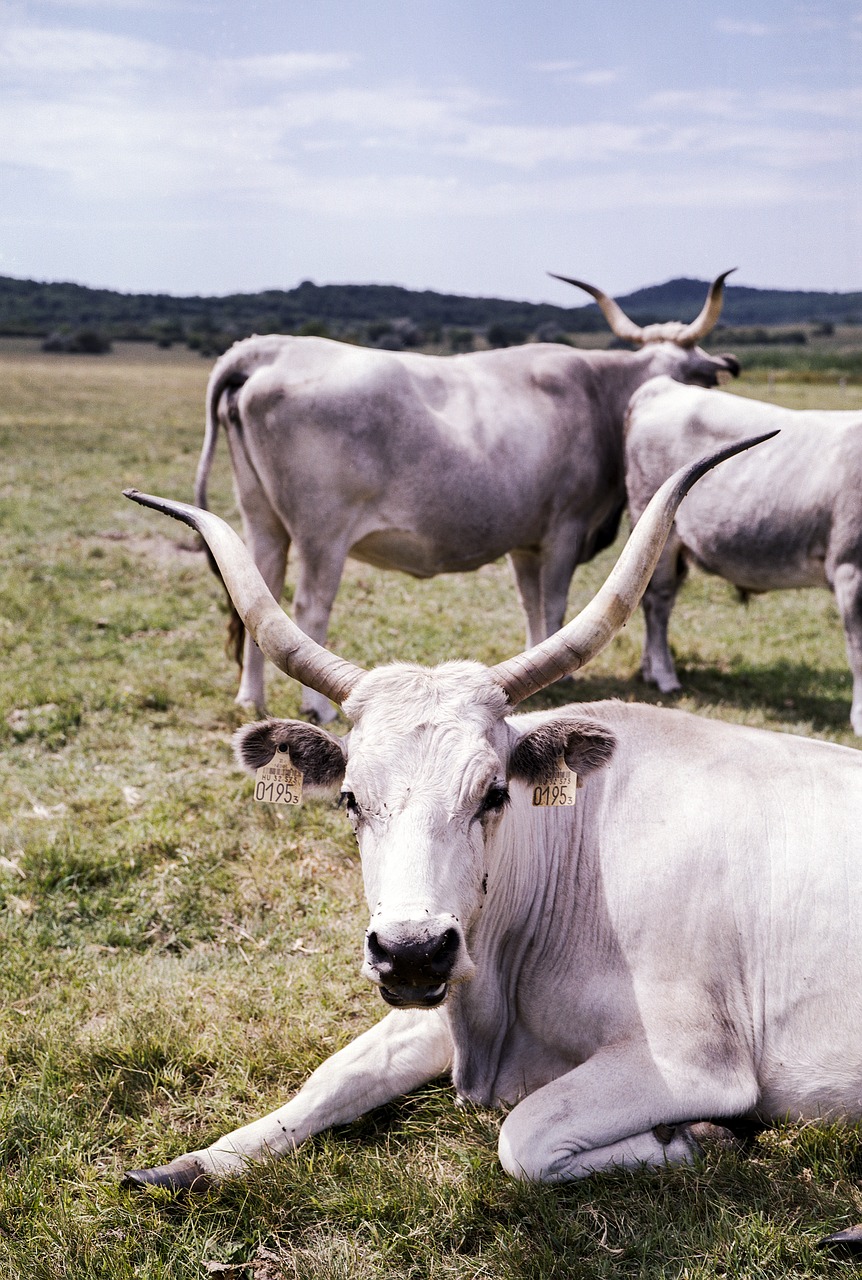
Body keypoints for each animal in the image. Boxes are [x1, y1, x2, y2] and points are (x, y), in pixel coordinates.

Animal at [121, 432, 862, 1239]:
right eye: (349, 798)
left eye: (494, 793)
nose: (413, 950)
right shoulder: (450, 987)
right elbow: (335, 1076)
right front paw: (193, 1162)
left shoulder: (693, 1057)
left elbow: (524, 1135)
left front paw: (695, 1136)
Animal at [198, 268, 737, 721]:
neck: (598, 393)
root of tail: (271, 349)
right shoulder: (565, 528)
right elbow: (555, 603)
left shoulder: (526, 541)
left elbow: (531, 604)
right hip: (322, 535)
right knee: (310, 607)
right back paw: (318, 709)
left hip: (261, 520)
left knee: (259, 593)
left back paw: (250, 699)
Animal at [622, 373, 860, 732]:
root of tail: (663, 386)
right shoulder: (850, 569)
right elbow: (857, 649)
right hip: (656, 529)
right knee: (656, 604)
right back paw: (665, 677)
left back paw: (650, 670)